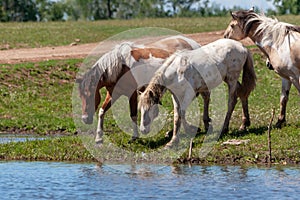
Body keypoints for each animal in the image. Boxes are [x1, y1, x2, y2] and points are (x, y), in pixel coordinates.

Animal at [76, 35, 210, 145]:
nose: (85, 119)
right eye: (81, 96)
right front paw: (98, 137)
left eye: (90, 95)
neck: (120, 67)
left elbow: (133, 115)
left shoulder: (132, 94)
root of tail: (195, 44)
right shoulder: (113, 94)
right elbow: (102, 111)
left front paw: (134, 136)